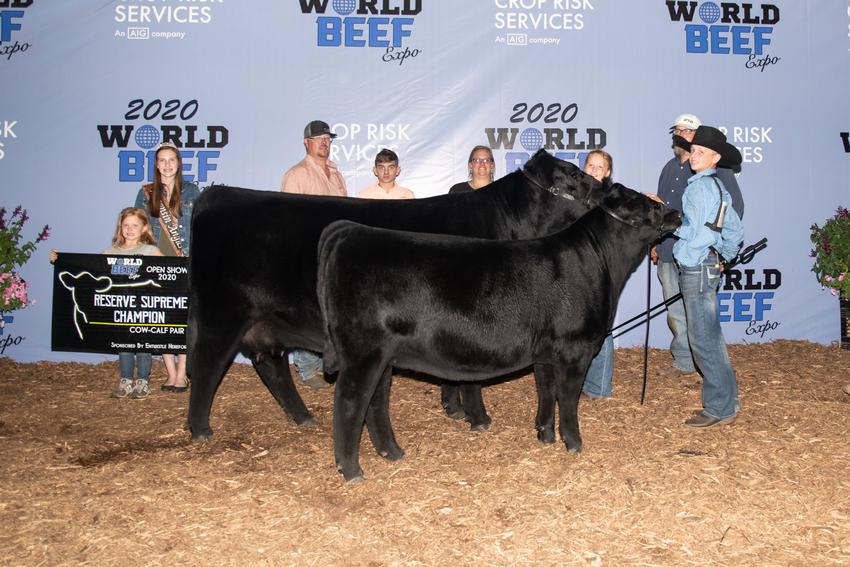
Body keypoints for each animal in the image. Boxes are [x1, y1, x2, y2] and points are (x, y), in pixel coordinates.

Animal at [187, 149, 606, 440]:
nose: (606, 186)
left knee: (270, 364)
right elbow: (470, 376)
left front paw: (452, 408)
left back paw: (303, 417)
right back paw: (199, 428)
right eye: (571, 173)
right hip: (222, 313)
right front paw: (478, 417)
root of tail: (218, 195)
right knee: (207, 365)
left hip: (263, 320)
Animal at [317, 184, 681, 482]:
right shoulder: (574, 348)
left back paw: (391, 452)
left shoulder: (545, 353)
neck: (598, 261)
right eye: (649, 205)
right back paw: (351, 469)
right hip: (364, 353)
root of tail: (350, 230)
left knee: (376, 401)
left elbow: (545, 390)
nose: (676, 213)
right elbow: (568, 397)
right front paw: (573, 442)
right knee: (350, 401)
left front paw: (545, 434)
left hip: (384, 355)